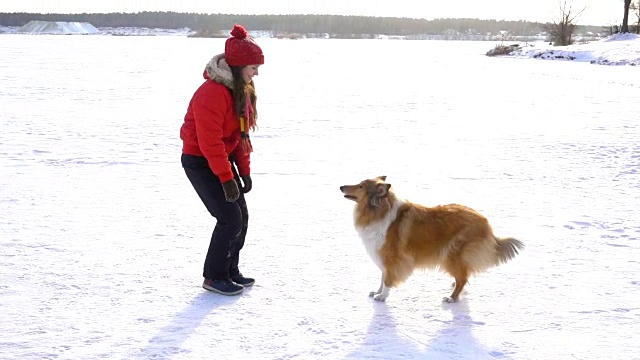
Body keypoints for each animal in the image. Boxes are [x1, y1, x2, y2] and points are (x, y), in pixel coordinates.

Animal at [340, 176, 520, 302]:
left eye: (361, 186)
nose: (341, 186)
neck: (379, 211)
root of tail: (486, 223)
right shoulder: (383, 257)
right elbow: (382, 277)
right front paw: (377, 292)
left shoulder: (391, 257)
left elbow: (387, 279)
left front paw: (382, 296)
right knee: (464, 275)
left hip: (452, 253)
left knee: (463, 278)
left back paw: (451, 298)